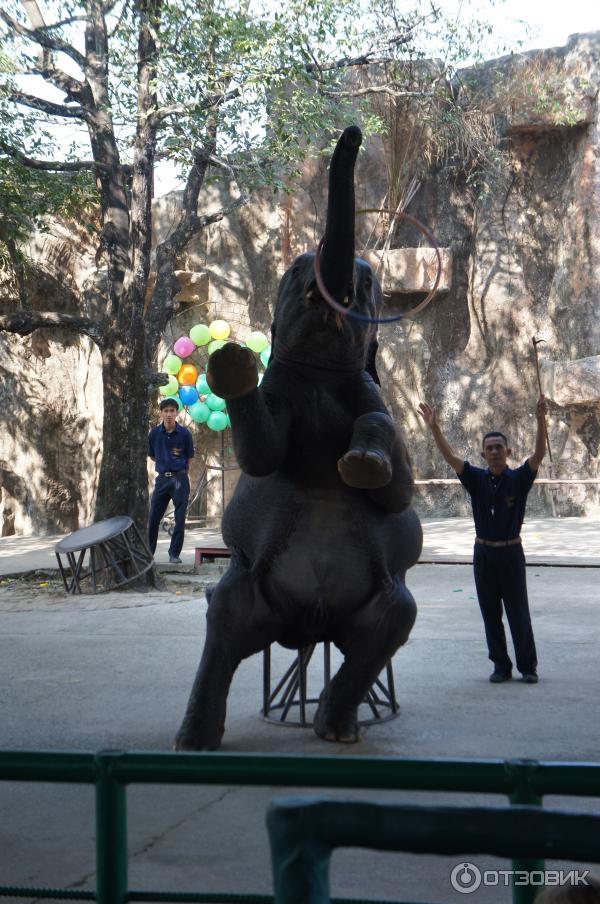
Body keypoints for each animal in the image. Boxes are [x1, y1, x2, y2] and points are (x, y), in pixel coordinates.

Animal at [175, 123, 422, 752]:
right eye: (293, 276)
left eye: (367, 286)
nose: (353, 133)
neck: (318, 377)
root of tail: (309, 628)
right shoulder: (282, 392)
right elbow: (260, 454)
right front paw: (232, 364)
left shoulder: (367, 389)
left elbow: (396, 480)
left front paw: (360, 465)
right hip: (246, 588)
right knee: (223, 618)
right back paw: (194, 741)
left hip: (380, 602)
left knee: (391, 623)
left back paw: (335, 729)